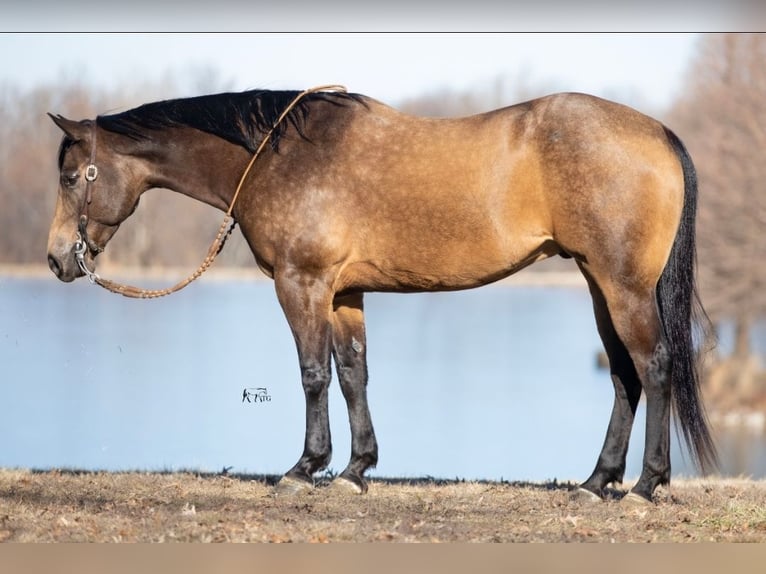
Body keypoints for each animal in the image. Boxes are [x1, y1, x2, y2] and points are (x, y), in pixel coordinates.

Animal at [46, 87, 717, 502]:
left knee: (654, 366)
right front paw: (355, 470)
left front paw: (304, 468)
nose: (56, 258)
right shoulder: (345, 293)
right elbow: (353, 375)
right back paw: (596, 481)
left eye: (72, 176)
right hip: (600, 285)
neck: (278, 157)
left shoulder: (303, 284)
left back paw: (644, 486)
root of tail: (657, 132)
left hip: (623, 287)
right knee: (625, 376)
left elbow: (313, 374)